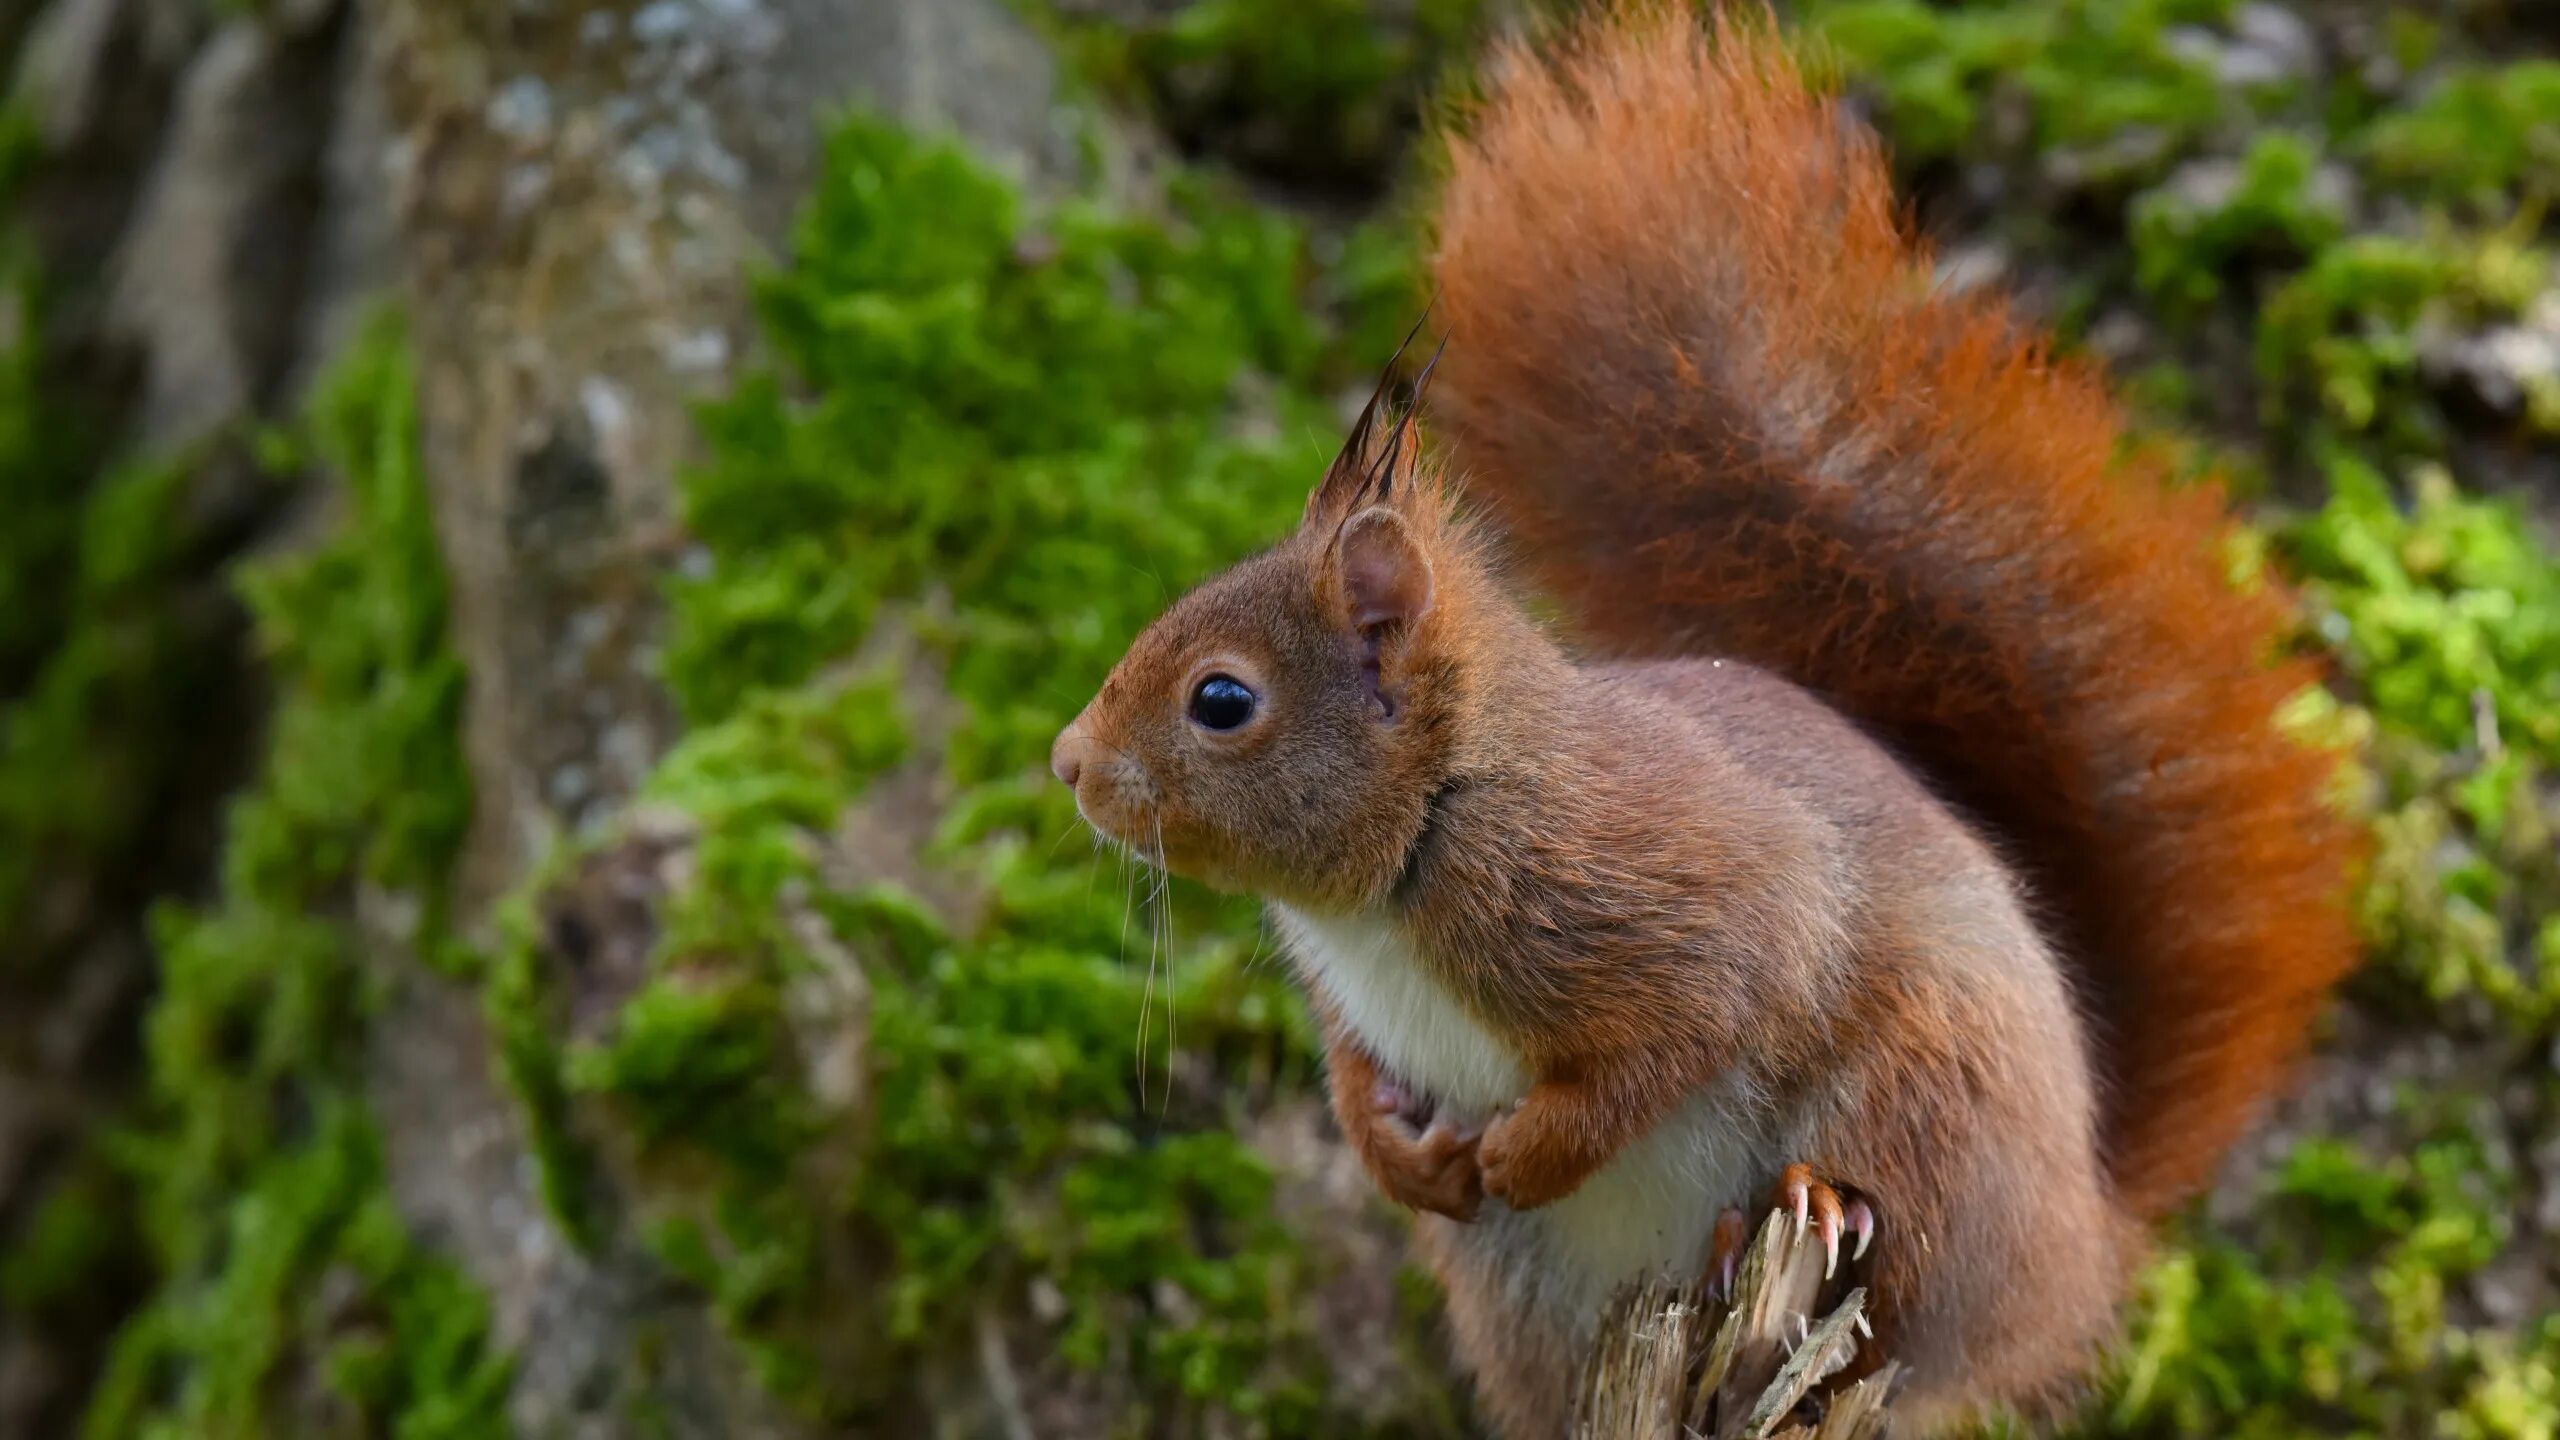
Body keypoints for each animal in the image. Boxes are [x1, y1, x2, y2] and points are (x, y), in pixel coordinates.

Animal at [1044, 5, 2355, 1424]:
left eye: (1222, 701)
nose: (1066, 764)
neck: (1424, 843)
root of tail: (2081, 1251)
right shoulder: (1364, 1003)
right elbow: (1354, 1076)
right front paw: (1400, 1158)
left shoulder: (1670, 897)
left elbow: (1674, 1038)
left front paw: (1527, 1151)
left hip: (1931, 1093)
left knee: (1899, 1296)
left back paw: (1796, 1211)